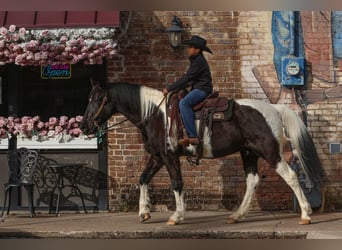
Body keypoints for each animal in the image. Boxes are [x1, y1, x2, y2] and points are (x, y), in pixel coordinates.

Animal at [81, 81, 324, 226]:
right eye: (89, 98)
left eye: (96, 99)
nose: (84, 126)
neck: (156, 115)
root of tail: (274, 108)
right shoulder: (158, 156)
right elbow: (142, 179)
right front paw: (144, 212)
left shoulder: (169, 156)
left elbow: (177, 184)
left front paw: (177, 216)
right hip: (248, 153)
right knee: (253, 181)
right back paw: (237, 215)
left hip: (270, 152)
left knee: (291, 176)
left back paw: (305, 214)